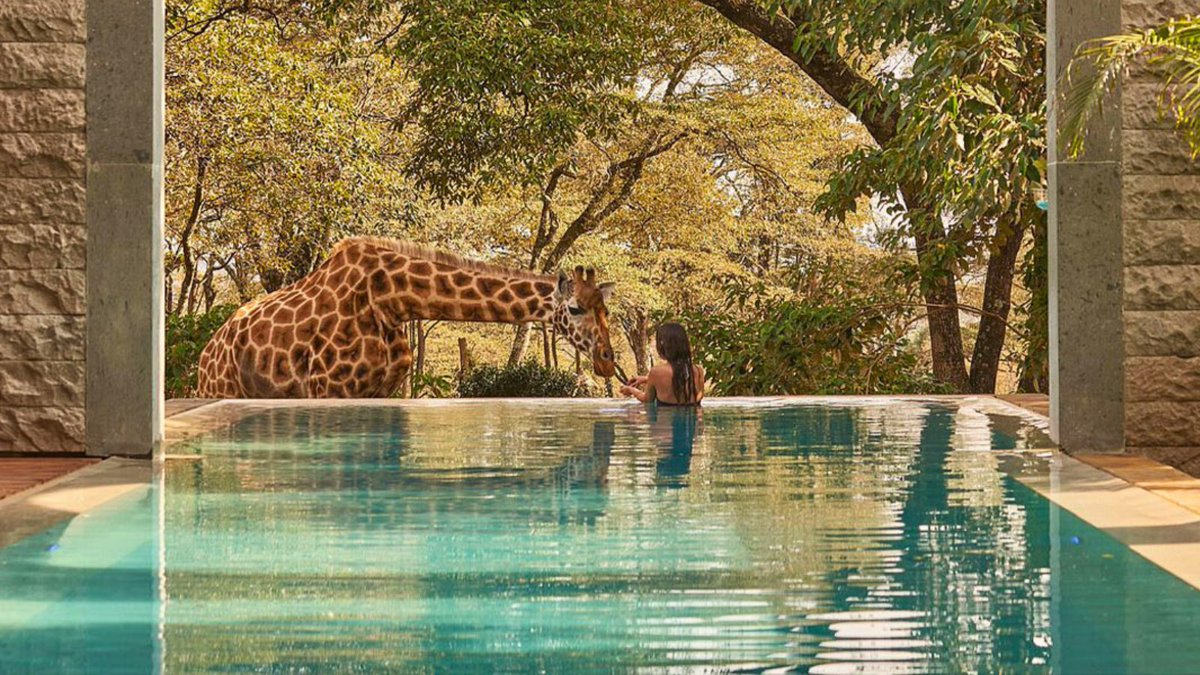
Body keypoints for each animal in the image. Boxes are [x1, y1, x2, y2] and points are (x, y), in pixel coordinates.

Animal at [196, 237, 617, 398]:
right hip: (220, 389)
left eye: (606, 309)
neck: (390, 299)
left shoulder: (381, 390)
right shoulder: (329, 389)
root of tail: (206, 352)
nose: (607, 361)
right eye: (575, 308)